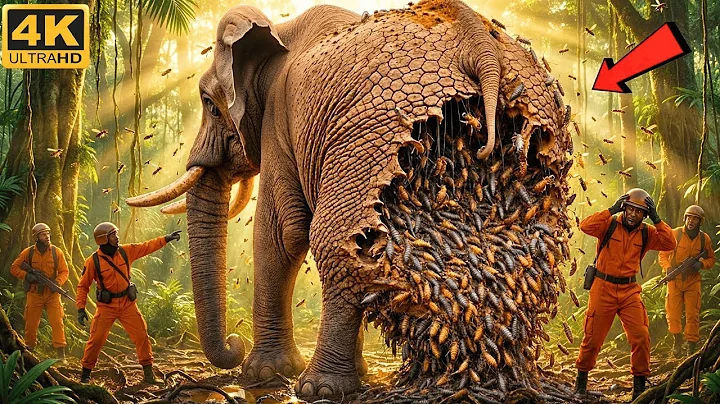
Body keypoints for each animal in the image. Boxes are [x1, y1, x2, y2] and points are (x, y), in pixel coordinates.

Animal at [128, 0, 572, 397]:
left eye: (210, 104)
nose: (233, 348)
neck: (280, 29)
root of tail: (480, 46)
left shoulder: (280, 122)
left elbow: (281, 237)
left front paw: (263, 375)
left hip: (370, 131)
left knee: (333, 242)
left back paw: (318, 388)